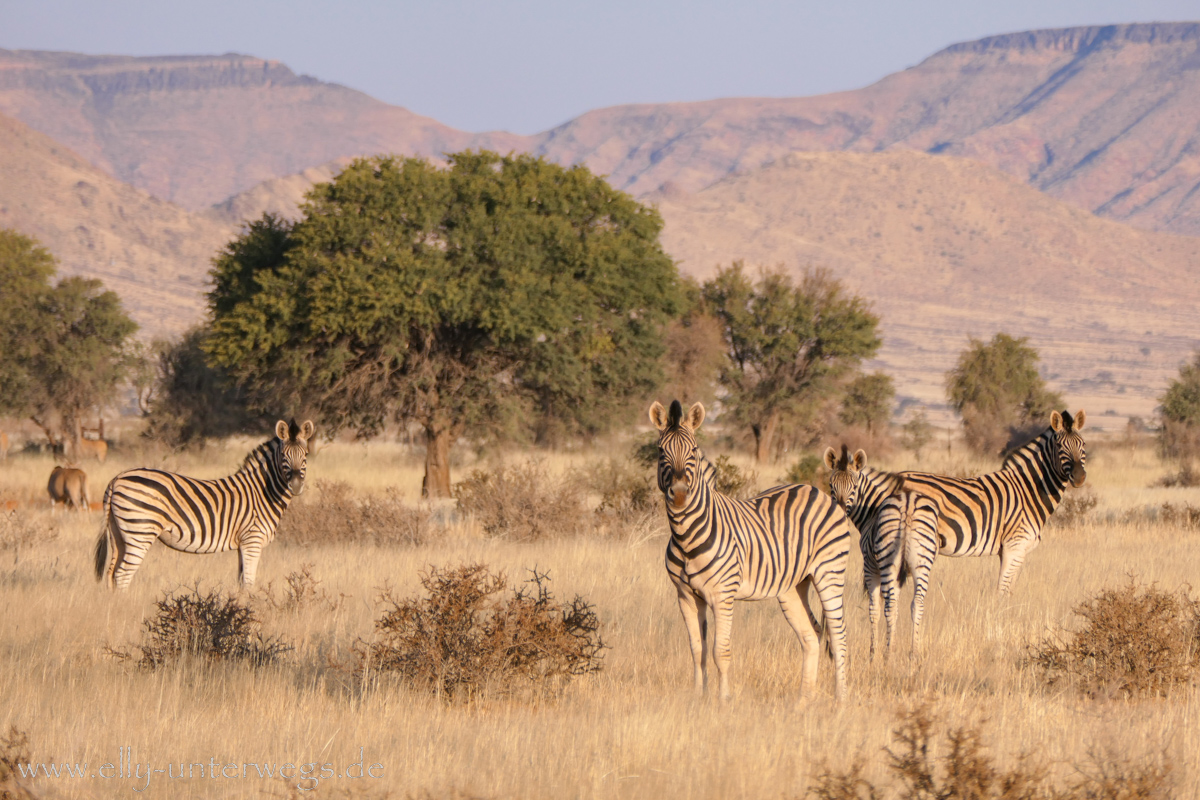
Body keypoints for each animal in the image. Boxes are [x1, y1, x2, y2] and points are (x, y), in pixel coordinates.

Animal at [94, 422, 314, 592]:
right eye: (284, 455)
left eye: (306, 455)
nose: (296, 486)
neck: (262, 492)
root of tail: (116, 479)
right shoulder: (253, 540)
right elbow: (249, 583)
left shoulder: (242, 544)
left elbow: (241, 582)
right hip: (140, 530)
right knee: (123, 575)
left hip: (118, 532)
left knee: (111, 574)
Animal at [648, 400, 854, 700]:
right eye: (661, 451)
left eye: (693, 451)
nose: (679, 494)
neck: (685, 535)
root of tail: (816, 491)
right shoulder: (685, 596)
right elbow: (697, 650)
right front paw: (698, 699)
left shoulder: (722, 594)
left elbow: (720, 652)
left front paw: (723, 700)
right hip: (793, 586)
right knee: (812, 635)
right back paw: (804, 701)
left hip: (830, 573)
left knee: (838, 637)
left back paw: (841, 699)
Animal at [820, 443, 940, 662]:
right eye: (831, 486)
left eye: (854, 487)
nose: (839, 514)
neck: (872, 509)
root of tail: (907, 502)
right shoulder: (901, 573)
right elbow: (898, 607)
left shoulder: (869, 565)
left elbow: (874, 609)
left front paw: (873, 652)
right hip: (922, 562)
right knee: (917, 604)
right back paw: (914, 654)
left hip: (886, 561)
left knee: (889, 605)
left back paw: (887, 655)